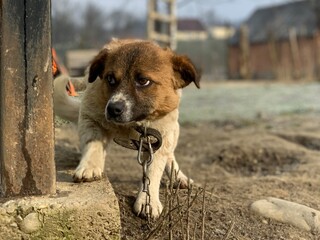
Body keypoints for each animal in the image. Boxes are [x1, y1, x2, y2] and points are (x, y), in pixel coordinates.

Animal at [55, 39, 200, 218]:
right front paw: (90, 166)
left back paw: (178, 176)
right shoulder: (90, 117)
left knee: (170, 155)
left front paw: (148, 200)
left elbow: (153, 168)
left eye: (143, 81)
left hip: (174, 131)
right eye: (110, 79)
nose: (112, 109)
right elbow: (94, 143)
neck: (134, 123)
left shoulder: (161, 135)